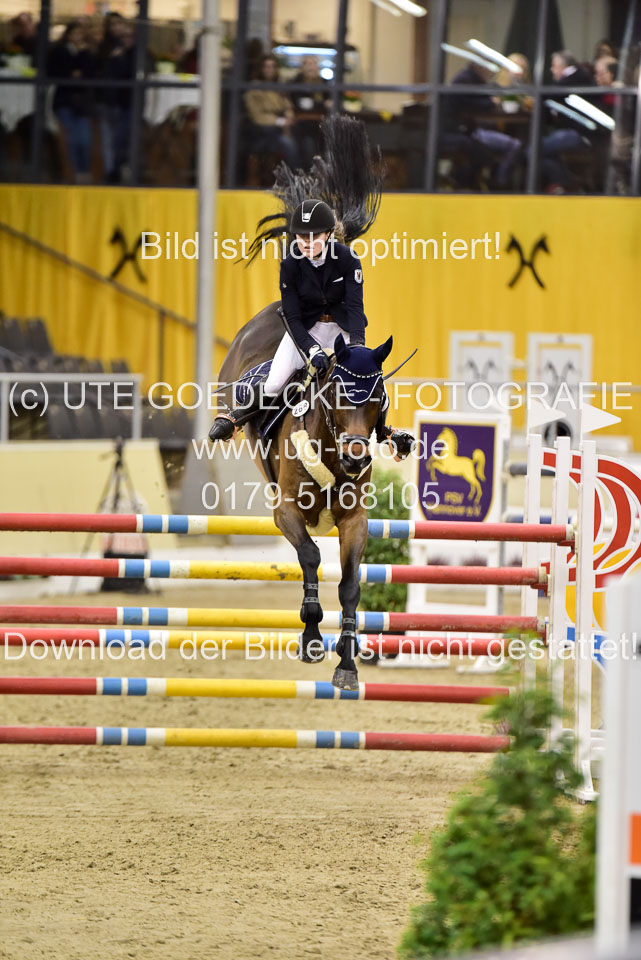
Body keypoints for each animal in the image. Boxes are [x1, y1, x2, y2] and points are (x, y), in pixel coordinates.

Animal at [215, 304, 393, 690]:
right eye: (338, 392)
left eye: (378, 396)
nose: (355, 459)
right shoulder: (286, 512)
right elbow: (310, 556)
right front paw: (311, 636)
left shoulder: (354, 521)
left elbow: (350, 585)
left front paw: (347, 662)